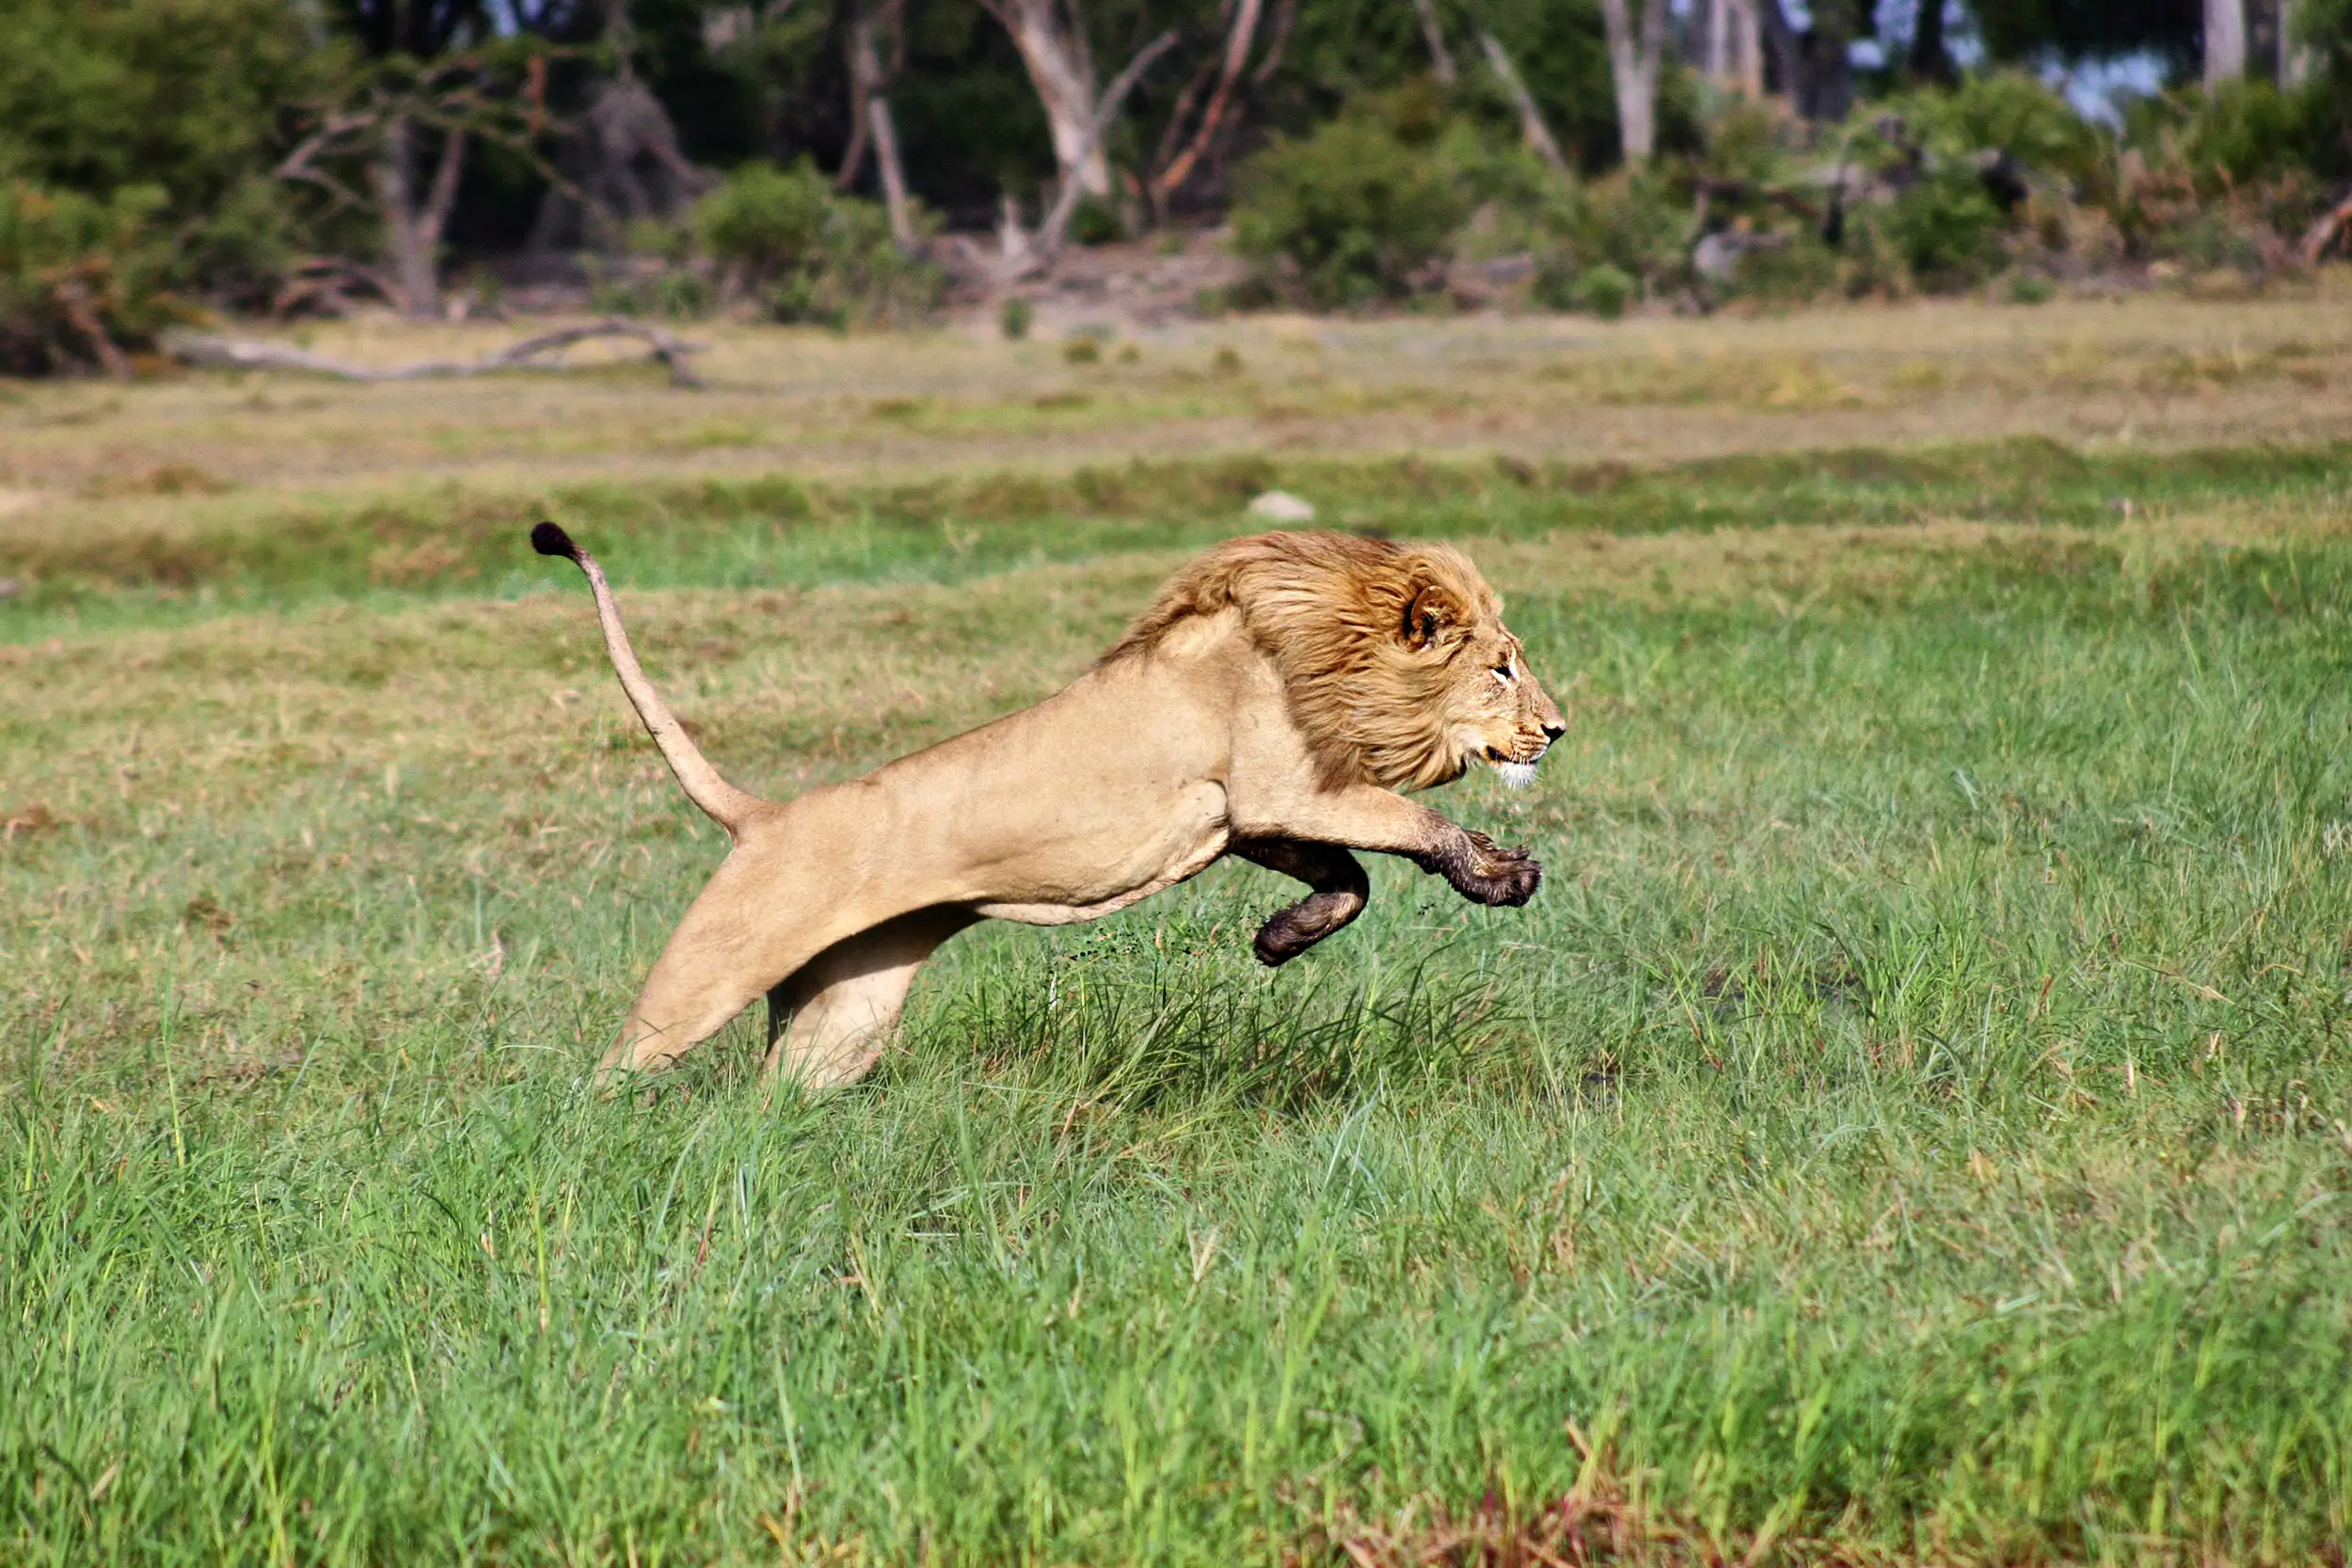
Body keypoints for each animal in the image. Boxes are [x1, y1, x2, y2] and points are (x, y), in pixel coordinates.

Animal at [531, 522, 1566, 1089]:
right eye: (1501, 667)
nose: (1557, 729)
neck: (1325, 642)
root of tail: (764, 815)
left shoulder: (1249, 817)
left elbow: (1351, 880)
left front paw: (1276, 942)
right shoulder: (1288, 786)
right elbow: (1414, 829)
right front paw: (1501, 873)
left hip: (846, 1011)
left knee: (774, 1095)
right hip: (705, 978)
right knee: (607, 1076)